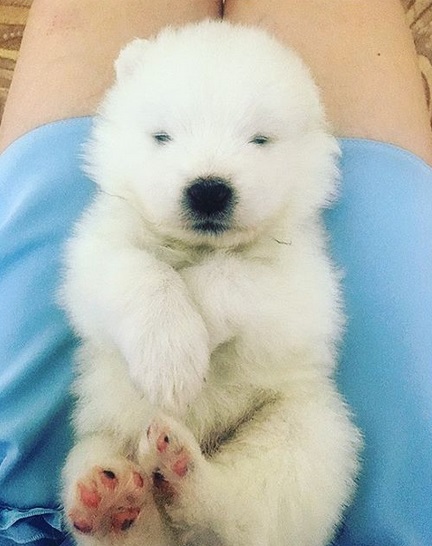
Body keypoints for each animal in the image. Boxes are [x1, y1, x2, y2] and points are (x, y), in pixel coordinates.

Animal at [59, 19, 360, 544]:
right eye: (162, 136)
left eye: (260, 139)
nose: (208, 190)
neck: (197, 247)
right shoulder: (98, 249)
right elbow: (137, 273)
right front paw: (170, 357)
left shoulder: (306, 281)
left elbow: (234, 278)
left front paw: (198, 332)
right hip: (98, 437)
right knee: (136, 515)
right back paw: (112, 501)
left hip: (306, 426)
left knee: (244, 510)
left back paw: (184, 473)